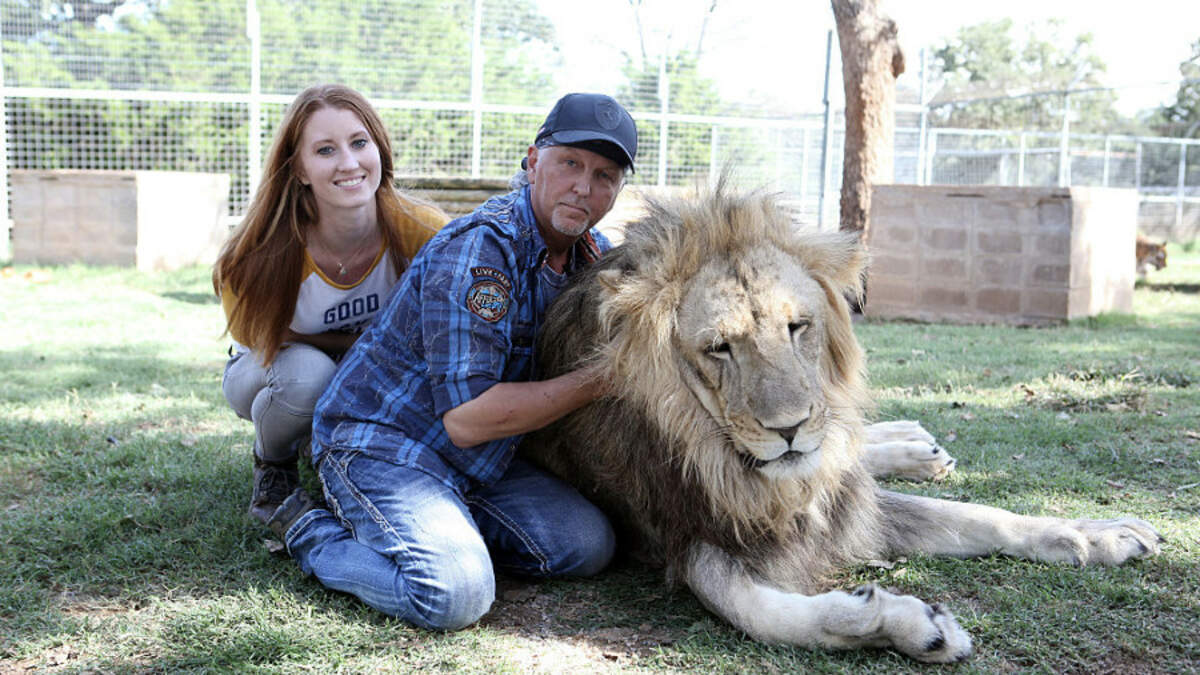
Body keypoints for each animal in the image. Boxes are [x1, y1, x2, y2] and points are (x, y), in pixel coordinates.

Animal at [520, 182, 1162, 663]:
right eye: (719, 348)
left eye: (797, 327)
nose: (789, 429)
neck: (732, 464)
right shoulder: (683, 528)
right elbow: (765, 615)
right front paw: (913, 625)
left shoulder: (838, 496)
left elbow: (978, 516)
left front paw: (1096, 534)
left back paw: (915, 447)